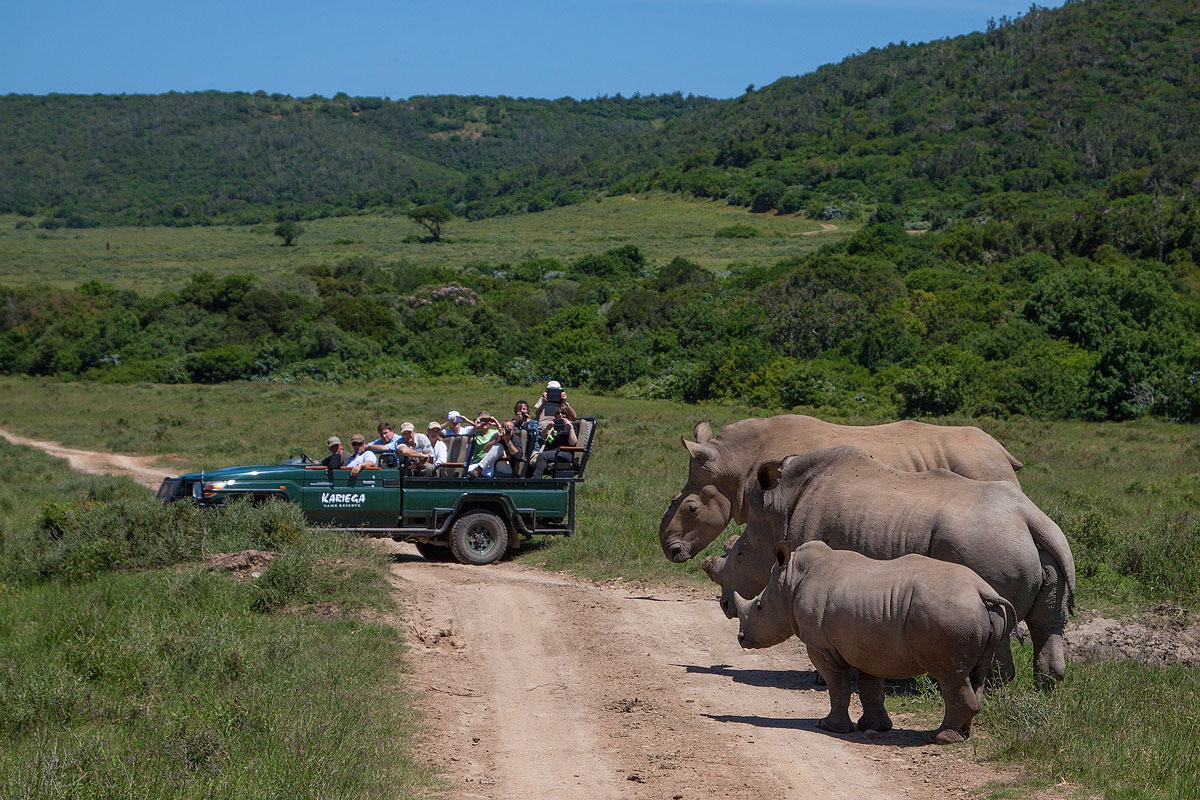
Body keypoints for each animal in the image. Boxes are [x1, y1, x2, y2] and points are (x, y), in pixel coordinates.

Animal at [734, 542, 1017, 748]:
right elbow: (870, 687)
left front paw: (828, 727)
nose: (741, 638)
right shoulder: (866, 644)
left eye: (759, 607)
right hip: (977, 614)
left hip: (951, 612)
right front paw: (875, 727)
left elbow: (837, 685)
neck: (791, 582)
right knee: (976, 673)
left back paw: (940, 738)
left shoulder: (822, 646)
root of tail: (981, 591)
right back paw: (962, 735)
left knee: (951, 675)